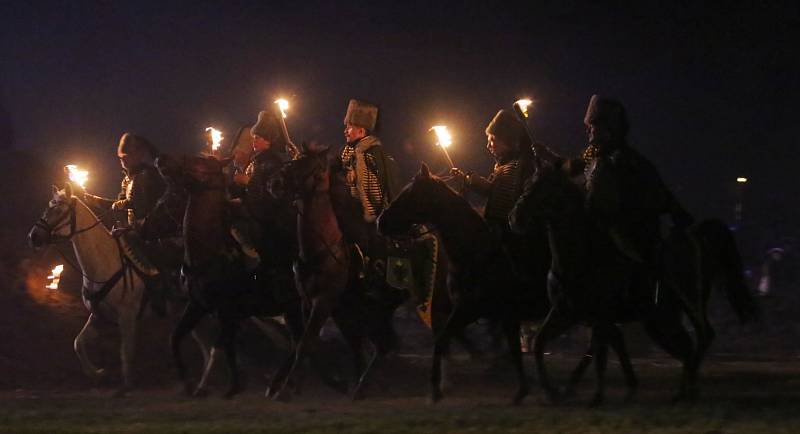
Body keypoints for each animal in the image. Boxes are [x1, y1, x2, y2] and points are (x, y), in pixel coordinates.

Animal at [264, 147, 398, 402]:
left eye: (309, 167)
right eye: (295, 160)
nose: (275, 183)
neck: (320, 249)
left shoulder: (324, 301)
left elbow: (306, 342)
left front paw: (285, 388)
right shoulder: (309, 302)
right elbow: (303, 341)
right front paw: (287, 385)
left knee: (383, 343)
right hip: (355, 309)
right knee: (370, 343)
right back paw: (361, 386)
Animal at [510, 161, 760, 406]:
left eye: (544, 189)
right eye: (528, 184)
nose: (515, 218)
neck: (581, 256)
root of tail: (698, 236)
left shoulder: (601, 317)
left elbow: (599, 355)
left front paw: (592, 395)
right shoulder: (566, 314)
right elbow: (541, 343)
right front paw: (553, 391)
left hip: (686, 305)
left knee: (700, 338)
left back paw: (688, 389)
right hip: (663, 317)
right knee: (690, 344)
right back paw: (684, 390)